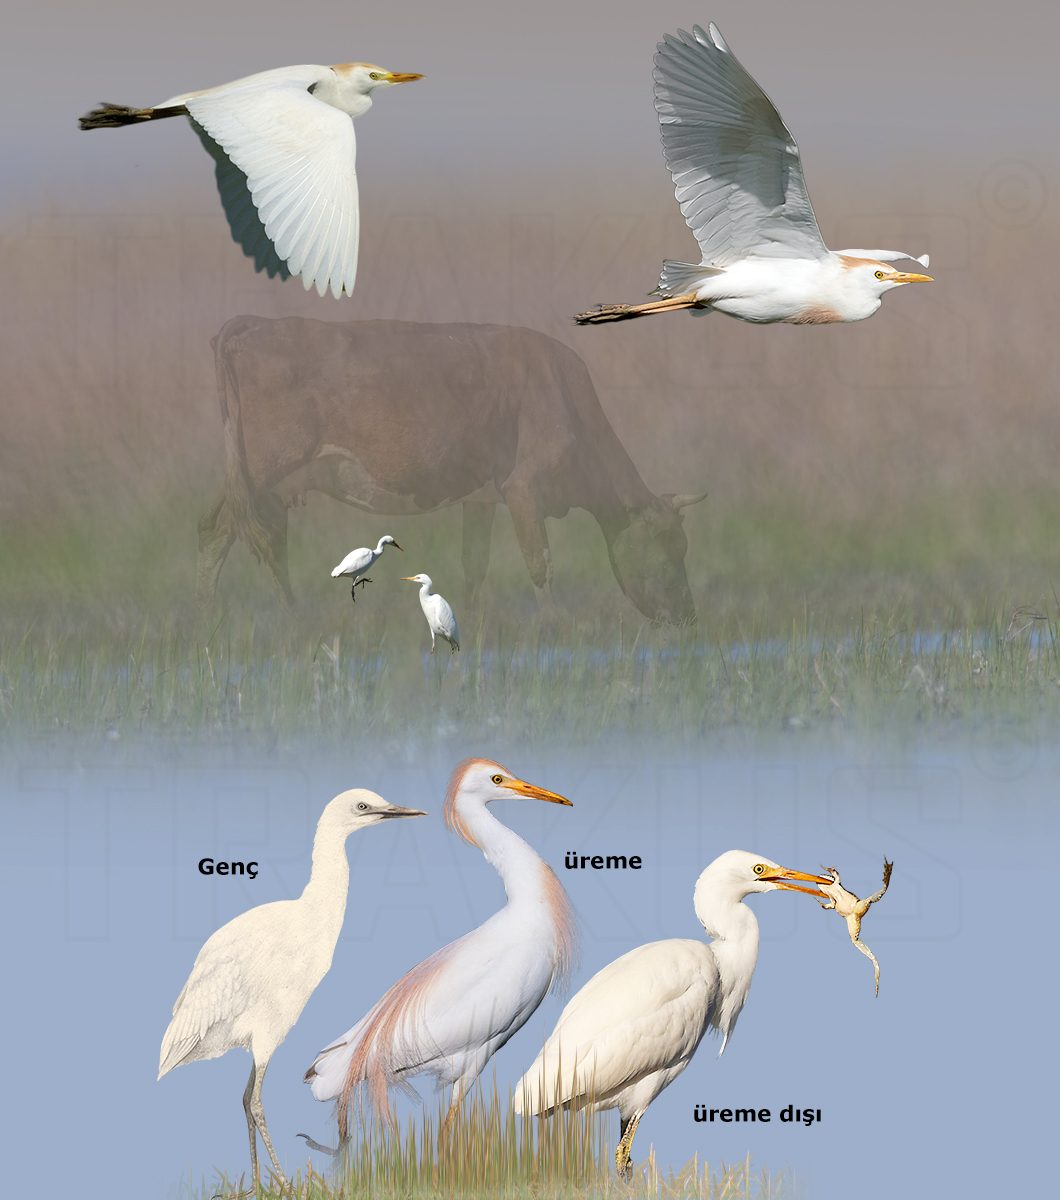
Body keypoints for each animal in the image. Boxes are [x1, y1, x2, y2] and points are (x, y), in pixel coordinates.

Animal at [196, 317, 706, 624]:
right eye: (669, 550)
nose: (687, 615)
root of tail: (254, 324)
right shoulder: (524, 488)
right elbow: (540, 564)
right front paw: (554, 628)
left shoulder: (482, 497)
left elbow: (474, 566)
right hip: (265, 471)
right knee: (234, 533)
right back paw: (267, 619)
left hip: (258, 482)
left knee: (224, 531)